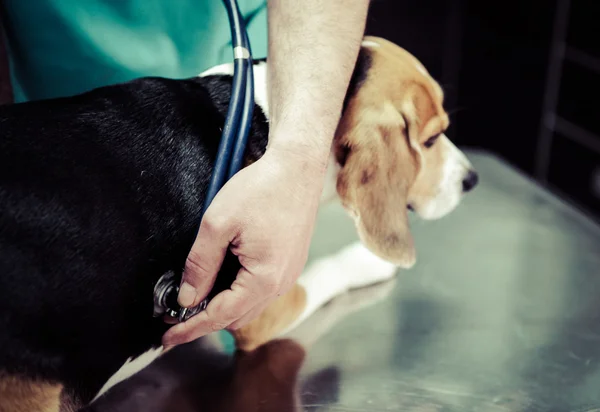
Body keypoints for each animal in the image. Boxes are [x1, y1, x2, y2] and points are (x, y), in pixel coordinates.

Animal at [0, 36, 478, 412]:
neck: (277, 122)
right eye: (430, 140)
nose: (471, 179)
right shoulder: (262, 302)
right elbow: (329, 271)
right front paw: (370, 261)